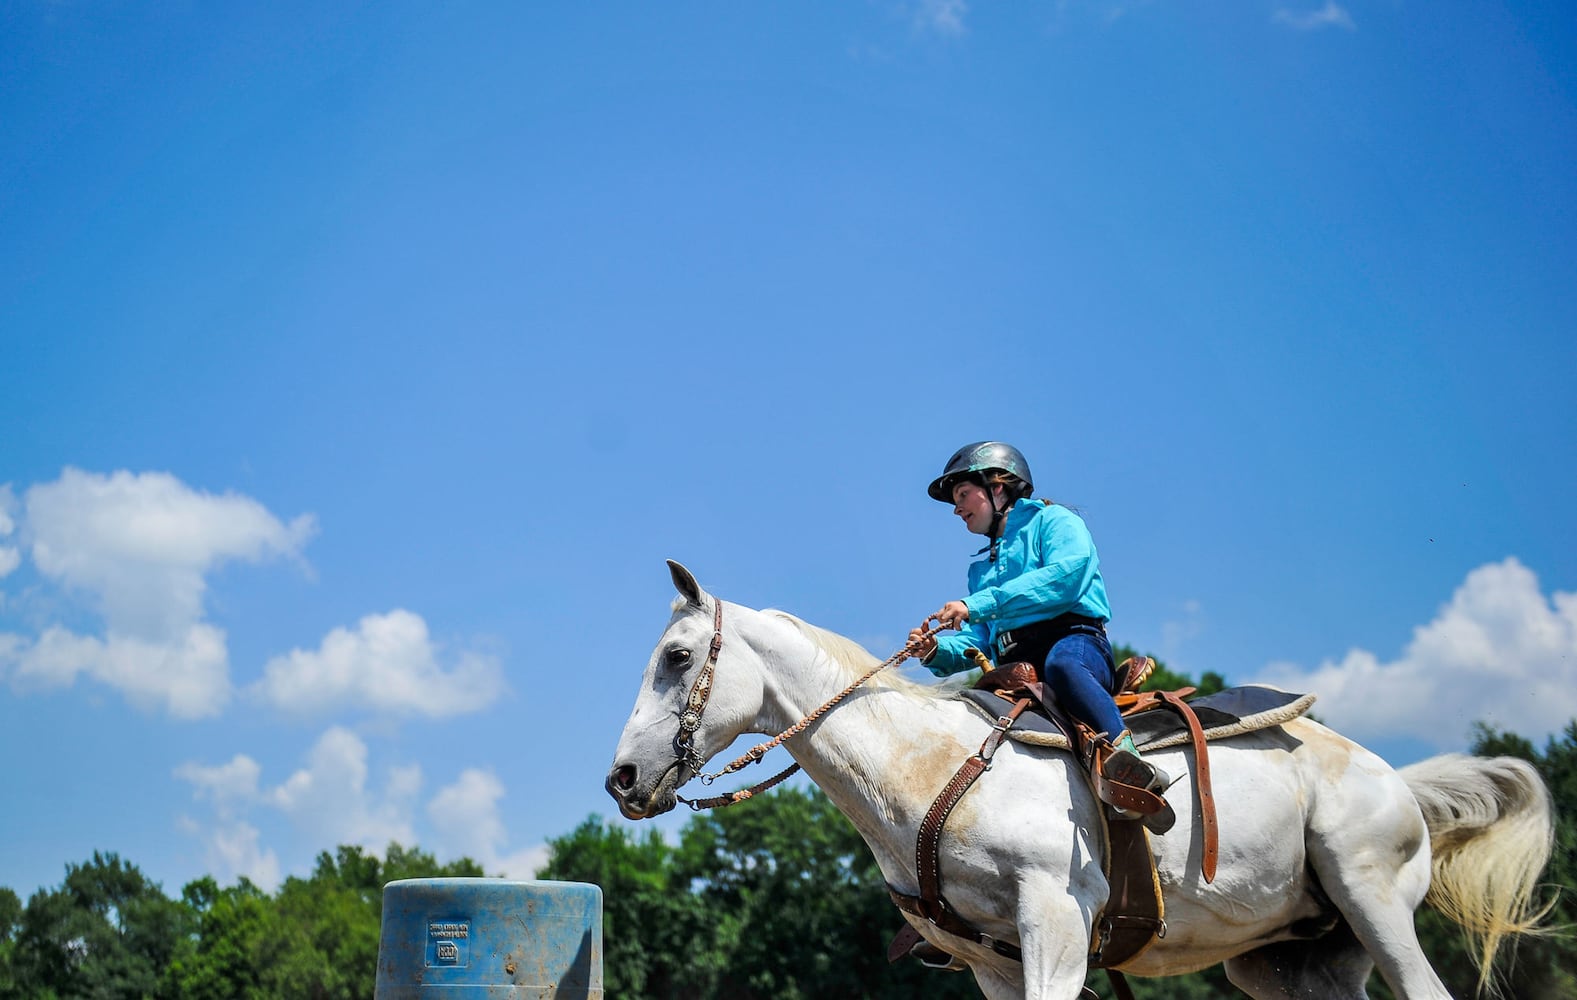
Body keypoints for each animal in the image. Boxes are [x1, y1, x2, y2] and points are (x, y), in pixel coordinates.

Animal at [602, 561, 1551, 996]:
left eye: (677, 657)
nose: (621, 778)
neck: (926, 767)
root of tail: (1400, 786)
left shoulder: (1055, 921)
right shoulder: (985, 962)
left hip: (1370, 900)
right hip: (1291, 962)